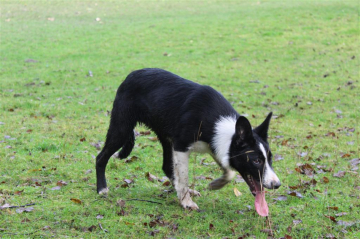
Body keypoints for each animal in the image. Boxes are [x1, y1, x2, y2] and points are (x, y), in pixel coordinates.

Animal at [95, 67, 282, 217]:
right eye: (256, 161)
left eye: (270, 159)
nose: (277, 184)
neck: (215, 120)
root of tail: (131, 75)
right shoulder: (181, 146)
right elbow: (184, 176)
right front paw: (186, 202)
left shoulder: (213, 146)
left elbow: (228, 172)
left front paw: (216, 184)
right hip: (121, 129)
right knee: (100, 157)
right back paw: (102, 189)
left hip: (165, 138)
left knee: (166, 166)